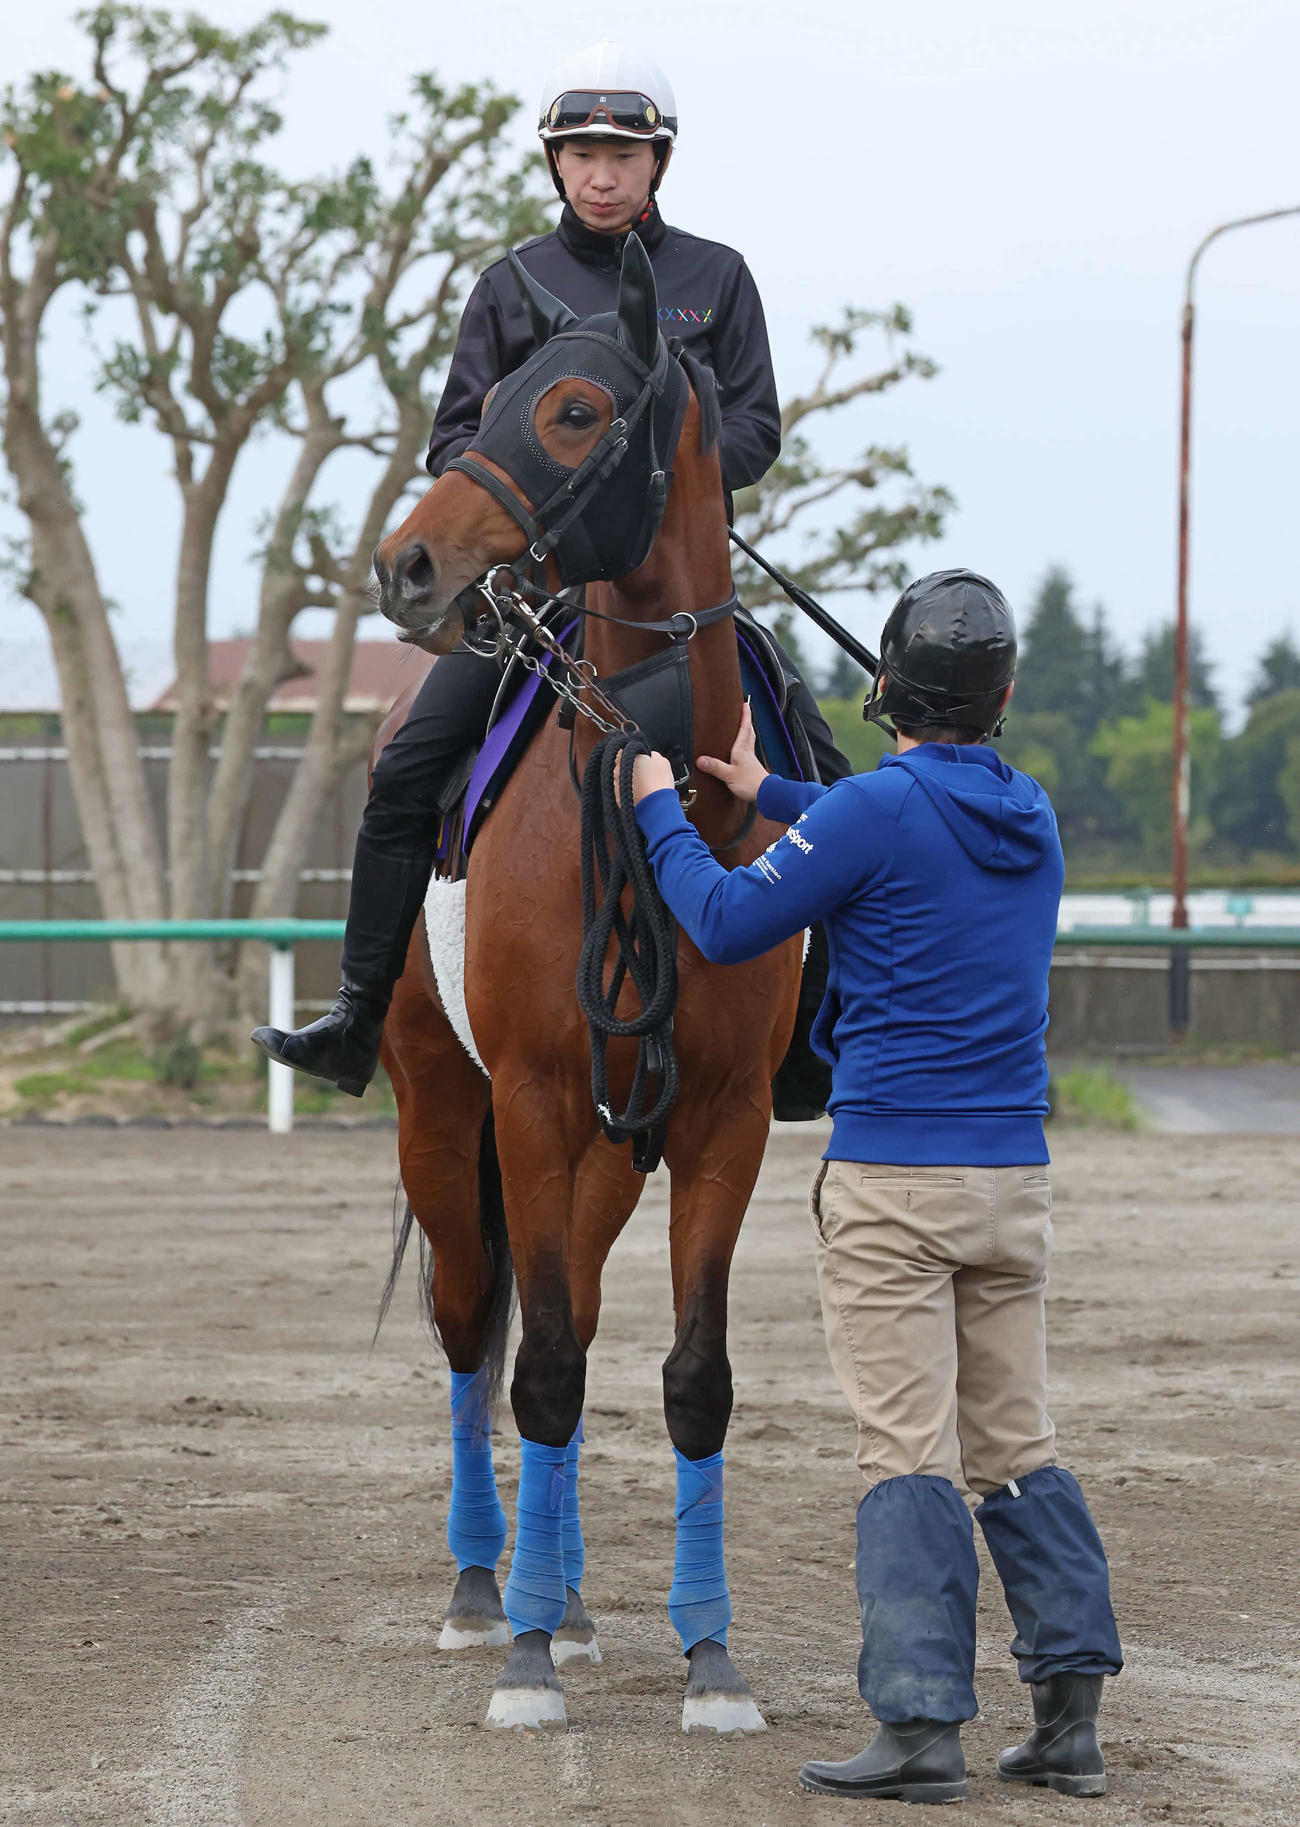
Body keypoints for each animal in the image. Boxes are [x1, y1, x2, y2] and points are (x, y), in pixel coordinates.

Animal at [370, 235, 802, 1733]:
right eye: (482, 401)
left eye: (569, 411)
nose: (408, 565)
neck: (645, 780)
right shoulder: (534, 1100)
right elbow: (542, 1367)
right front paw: (522, 1663)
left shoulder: (723, 1119)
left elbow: (692, 1376)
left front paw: (712, 1658)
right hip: (445, 1113)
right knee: (471, 1330)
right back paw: (486, 1592)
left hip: (613, 1147)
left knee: (574, 1310)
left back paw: (565, 1597)